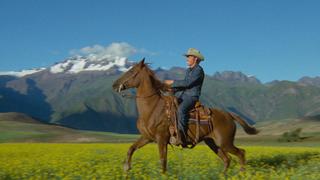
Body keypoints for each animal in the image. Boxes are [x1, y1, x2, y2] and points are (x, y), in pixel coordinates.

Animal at [112, 58, 260, 174]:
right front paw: (126, 168)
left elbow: (163, 161)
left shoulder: (161, 139)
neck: (152, 108)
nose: (114, 85)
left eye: (131, 71)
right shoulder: (147, 137)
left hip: (225, 142)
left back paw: (242, 174)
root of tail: (229, 115)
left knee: (241, 153)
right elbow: (131, 148)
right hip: (213, 143)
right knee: (227, 159)